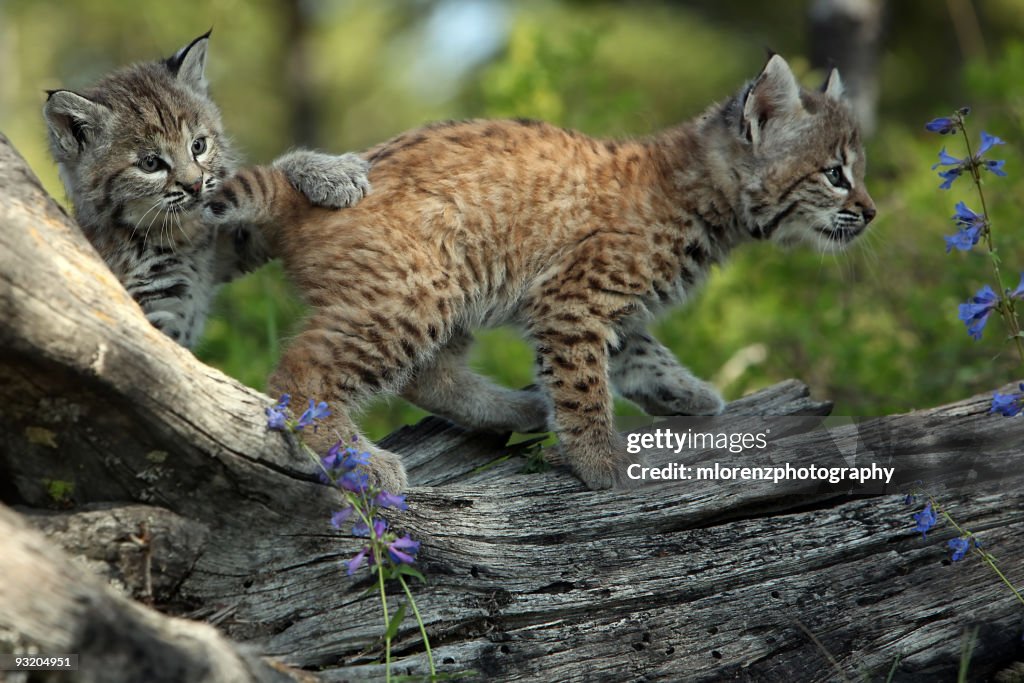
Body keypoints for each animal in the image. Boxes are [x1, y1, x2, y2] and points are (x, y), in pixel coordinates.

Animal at [46, 31, 372, 348]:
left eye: (198, 146)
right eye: (150, 164)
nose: (194, 185)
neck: (175, 235)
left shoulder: (223, 247)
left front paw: (331, 171)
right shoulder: (149, 315)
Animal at [205, 54, 872, 491]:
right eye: (836, 174)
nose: (870, 212)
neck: (707, 196)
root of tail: (292, 197)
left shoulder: (599, 302)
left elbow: (637, 351)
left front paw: (683, 393)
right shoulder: (572, 297)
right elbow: (582, 382)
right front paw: (600, 463)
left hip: (447, 285)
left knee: (427, 376)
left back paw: (512, 410)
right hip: (413, 292)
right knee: (298, 376)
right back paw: (362, 463)